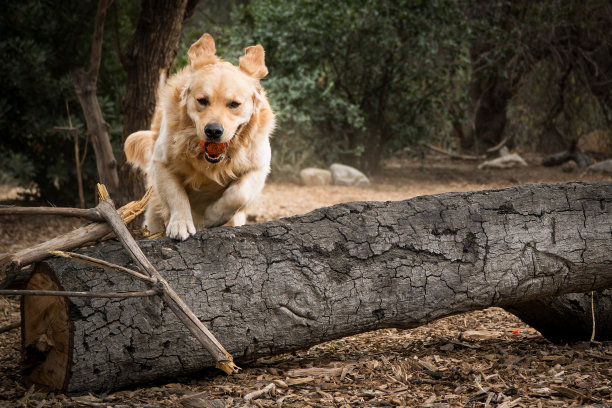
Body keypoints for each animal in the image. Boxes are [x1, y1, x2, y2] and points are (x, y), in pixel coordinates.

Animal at [123, 34, 274, 242]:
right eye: (202, 101)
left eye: (234, 104)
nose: (213, 130)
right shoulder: (160, 162)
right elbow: (176, 195)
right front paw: (181, 224)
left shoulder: (259, 166)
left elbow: (238, 194)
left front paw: (211, 216)